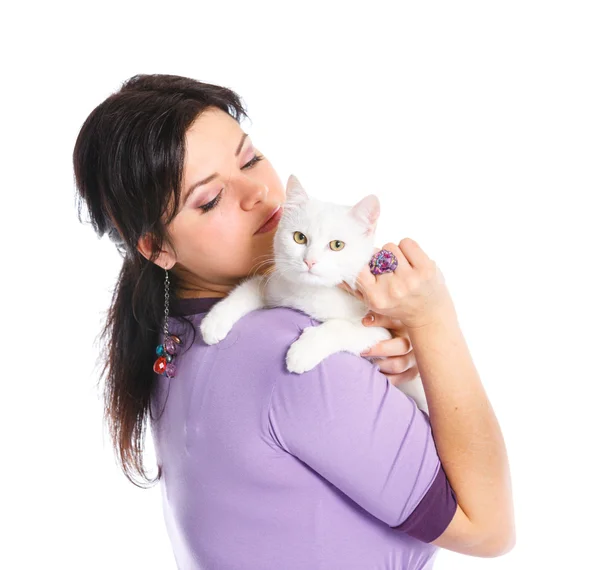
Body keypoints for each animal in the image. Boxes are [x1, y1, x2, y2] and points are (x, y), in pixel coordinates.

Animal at [199, 173, 428, 412]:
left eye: (337, 245)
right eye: (299, 238)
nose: (310, 261)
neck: (314, 293)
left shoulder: (385, 333)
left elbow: (340, 327)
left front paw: (303, 351)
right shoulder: (275, 286)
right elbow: (248, 289)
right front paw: (215, 321)